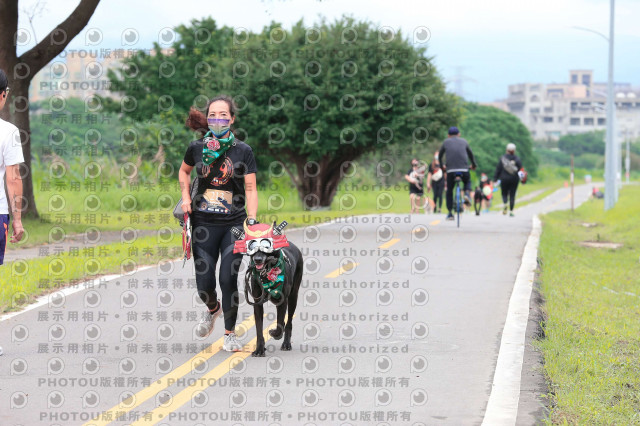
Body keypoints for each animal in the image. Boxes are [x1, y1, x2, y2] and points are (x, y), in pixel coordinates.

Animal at [232, 220, 304, 356]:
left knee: (288, 322)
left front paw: (275, 333)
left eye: (266, 246)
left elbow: (280, 324)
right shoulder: (257, 303)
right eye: (252, 247)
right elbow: (259, 329)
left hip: (293, 297)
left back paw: (286, 343)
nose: (257, 259)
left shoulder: (282, 301)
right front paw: (259, 348)